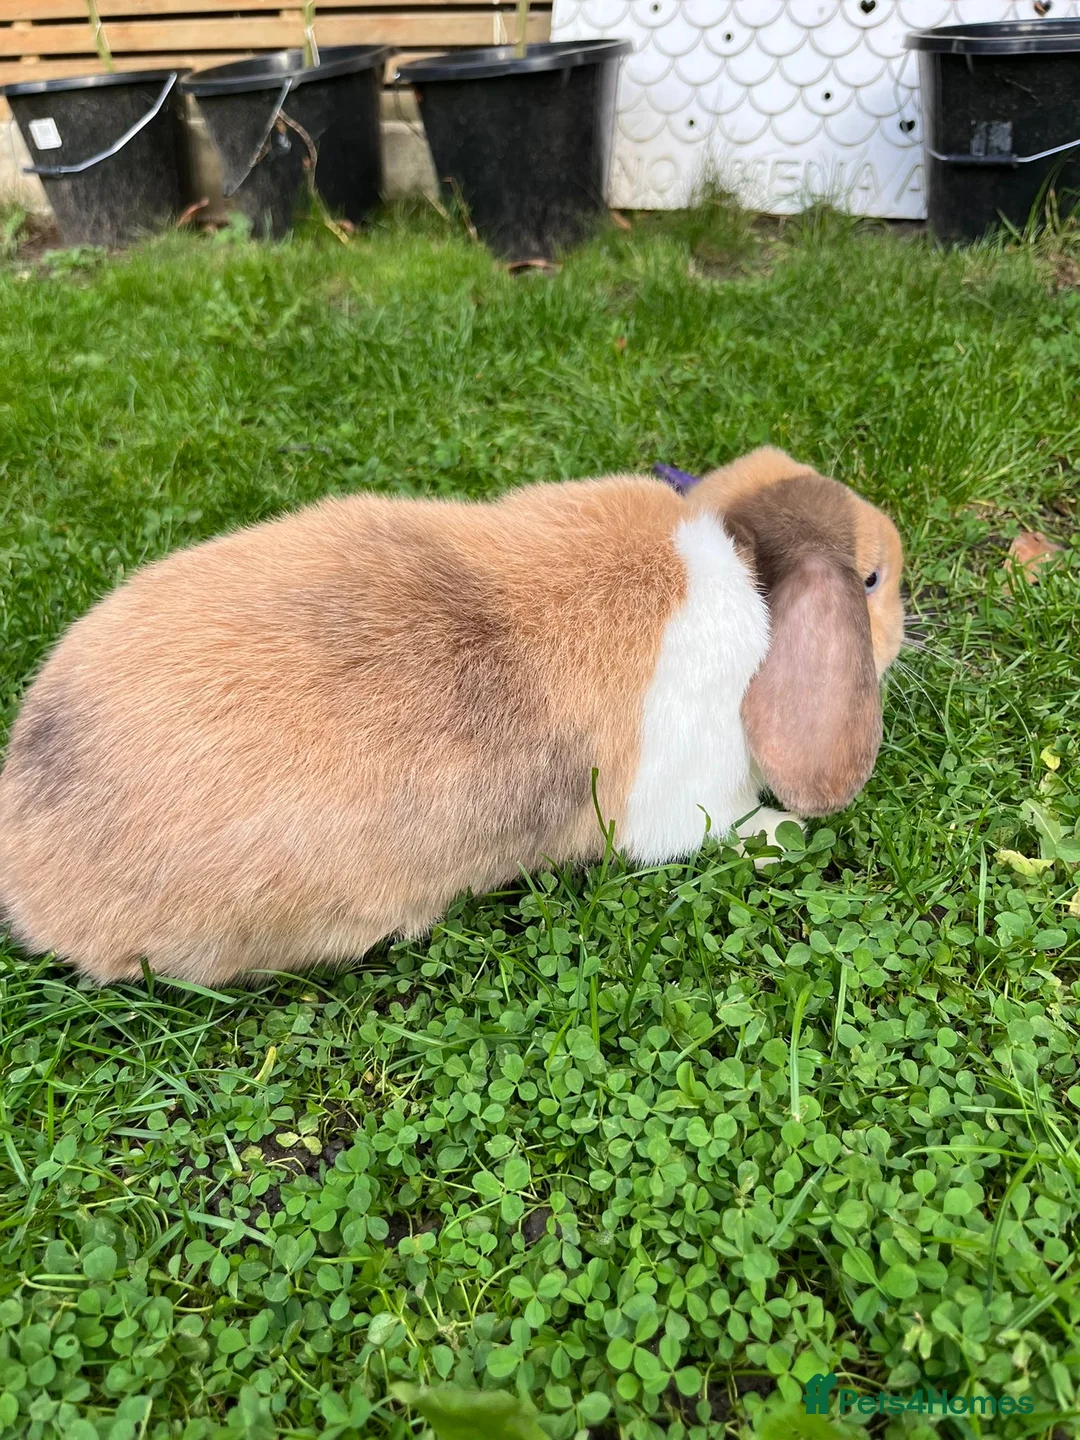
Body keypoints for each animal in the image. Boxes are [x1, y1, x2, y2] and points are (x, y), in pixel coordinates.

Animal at [0, 446, 904, 986]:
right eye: (870, 579)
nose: (906, 621)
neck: (741, 556)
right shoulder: (685, 801)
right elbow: (725, 827)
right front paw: (783, 835)